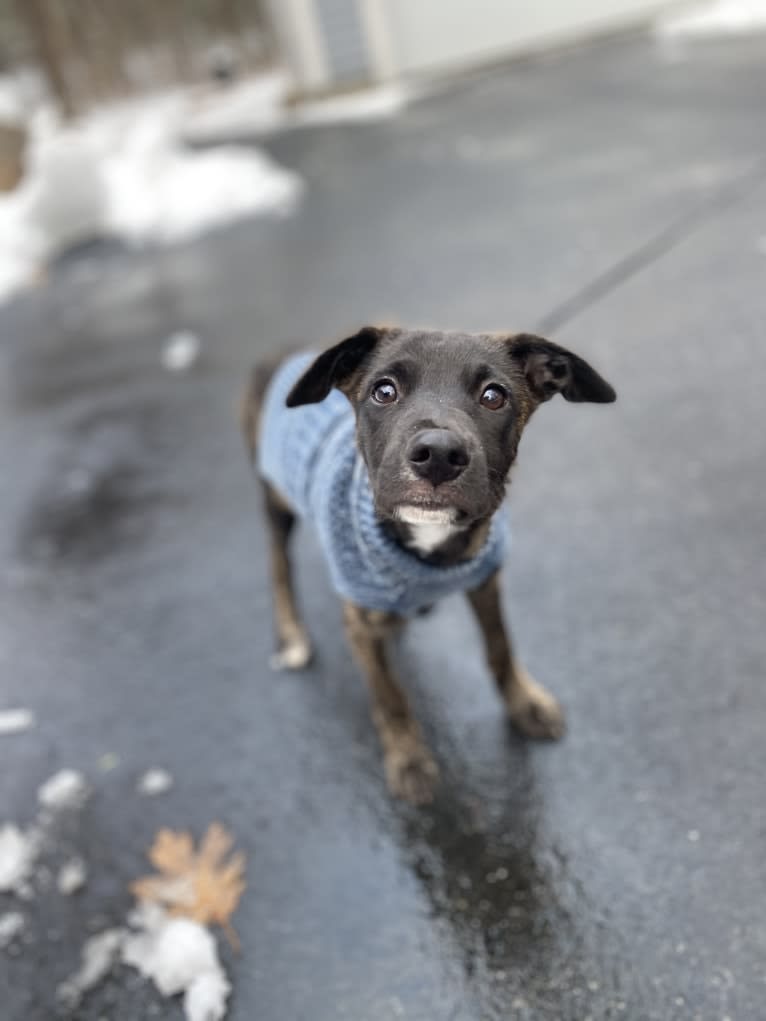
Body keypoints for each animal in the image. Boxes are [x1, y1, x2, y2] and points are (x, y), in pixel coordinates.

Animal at [243, 328, 616, 804]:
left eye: (494, 396)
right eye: (384, 391)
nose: (438, 454)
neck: (431, 548)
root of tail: (280, 353)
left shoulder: (485, 581)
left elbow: (499, 647)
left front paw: (524, 704)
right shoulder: (359, 623)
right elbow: (390, 697)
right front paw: (409, 760)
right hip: (275, 497)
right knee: (278, 561)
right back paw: (292, 632)